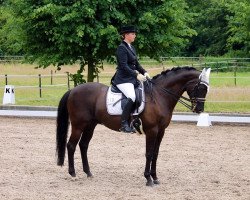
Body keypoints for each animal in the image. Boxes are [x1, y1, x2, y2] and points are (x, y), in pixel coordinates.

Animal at [55, 66, 210, 187]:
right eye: (201, 87)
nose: (199, 109)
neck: (159, 96)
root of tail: (73, 90)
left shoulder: (161, 131)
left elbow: (156, 153)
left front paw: (155, 177)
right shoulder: (152, 130)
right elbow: (149, 153)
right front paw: (148, 179)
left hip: (90, 125)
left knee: (83, 145)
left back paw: (88, 172)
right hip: (78, 125)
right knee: (71, 145)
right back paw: (73, 174)